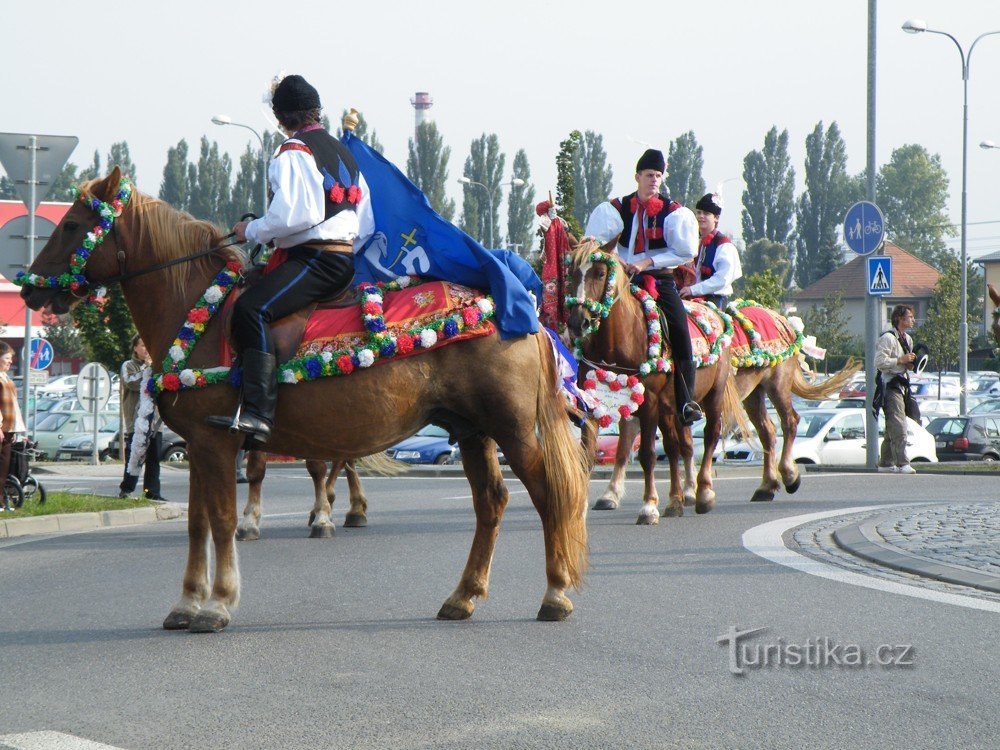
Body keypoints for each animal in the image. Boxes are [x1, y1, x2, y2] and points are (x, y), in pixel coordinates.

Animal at [19, 167, 588, 632]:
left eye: (71, 226)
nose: (28, 289)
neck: (198, 309)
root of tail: (518, 307)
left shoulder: (216, 443)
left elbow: (222, 520)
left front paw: (218, 604)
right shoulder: (200, 446)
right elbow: (197, 522)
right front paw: (186, 603)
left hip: (514, 429)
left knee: (549, 495)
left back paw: (555, 593)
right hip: (472, 431)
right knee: (491, 502)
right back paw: (463, 596)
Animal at [564, 241, 744, 524]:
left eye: (601, 273)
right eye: (571, 272)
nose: (577, 323)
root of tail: (713, 312)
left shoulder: (648, 403)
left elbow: (647, 454)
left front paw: (648, 506)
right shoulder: (595, 404)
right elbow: (589, 454)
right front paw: (581, 508)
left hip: (711, 396)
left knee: (709, 435)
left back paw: (703, 493)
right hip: (670, 408)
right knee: (675, 446)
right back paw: (676, 499)